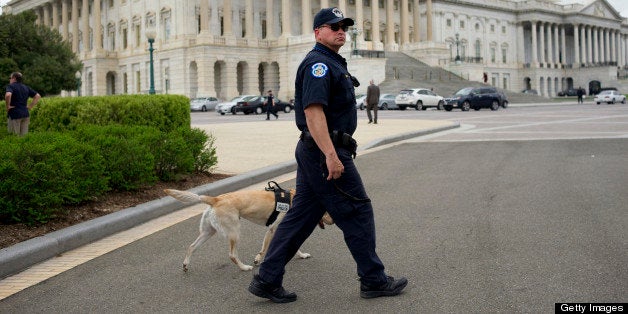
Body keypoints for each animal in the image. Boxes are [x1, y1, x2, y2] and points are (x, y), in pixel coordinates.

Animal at [166, 186, 334, 272]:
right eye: (326, 211)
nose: (333, 221)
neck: (295, 199)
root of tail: (215, 199)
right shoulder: (273, 229)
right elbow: (264, 249)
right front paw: (259, 259)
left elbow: (295, 246)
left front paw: (302, 255)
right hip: (235, 232)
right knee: (232, 255)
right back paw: (244, 267)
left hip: (208, 232)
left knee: (191, 247)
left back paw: (186, 264)